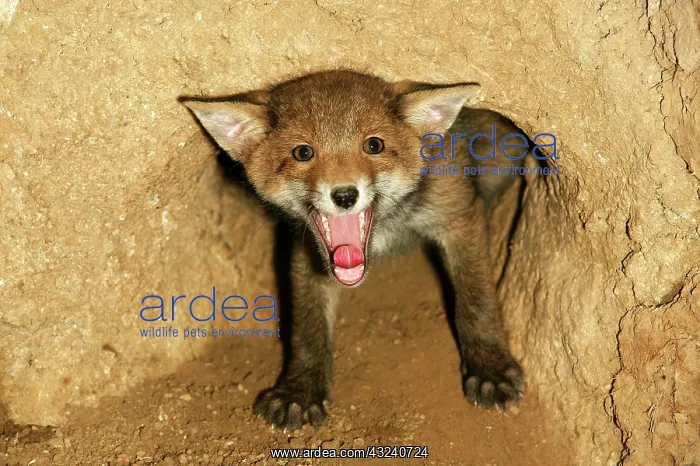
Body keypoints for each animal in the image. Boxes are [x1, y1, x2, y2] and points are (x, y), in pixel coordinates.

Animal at [181, 69, 528, 430]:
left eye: (374, 145)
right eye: (303, 152)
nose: (345, 195)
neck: (389, 228)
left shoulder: (459, 216)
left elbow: (475, 300)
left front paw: (490, 367)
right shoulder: (309, 251)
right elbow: (308, 328)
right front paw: (301, 391)